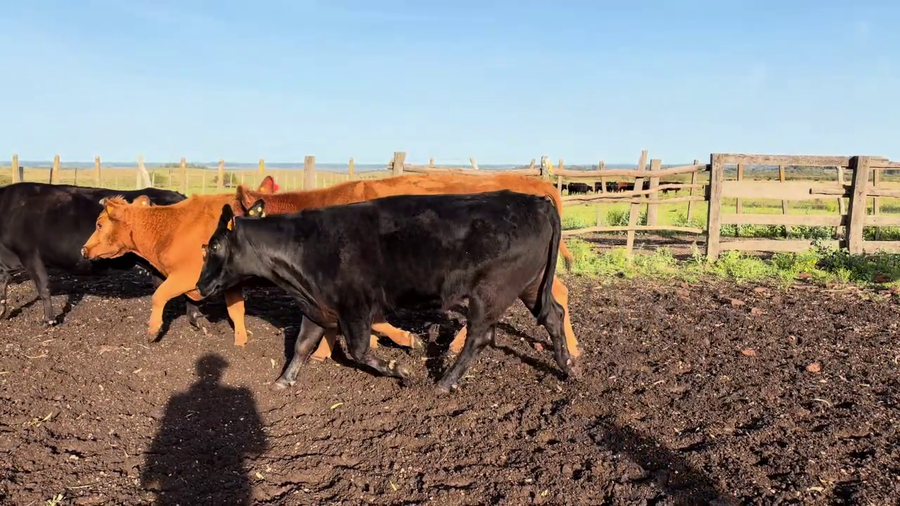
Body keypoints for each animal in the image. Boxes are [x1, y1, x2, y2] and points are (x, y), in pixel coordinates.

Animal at [80, 177, 279, 345]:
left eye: (99, 225)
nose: (84, 249)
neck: (172, 229)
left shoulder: (187, 277)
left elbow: (159, 296)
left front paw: (153, 331)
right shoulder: (231, 285)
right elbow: (236, 311)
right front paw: (240, 344)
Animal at [196, 190, 580, 393]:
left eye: (213, 246)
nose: (200, 286)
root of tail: (537, 201)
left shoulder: (354, 306)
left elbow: (360, 351)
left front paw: (400, 369)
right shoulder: (316, 306)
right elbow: (302, 346)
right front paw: (284, 380)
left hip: (491, 292)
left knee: (480, 337)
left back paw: (445, 382)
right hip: (530, 285)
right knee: (553, 316)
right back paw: (566, 367)